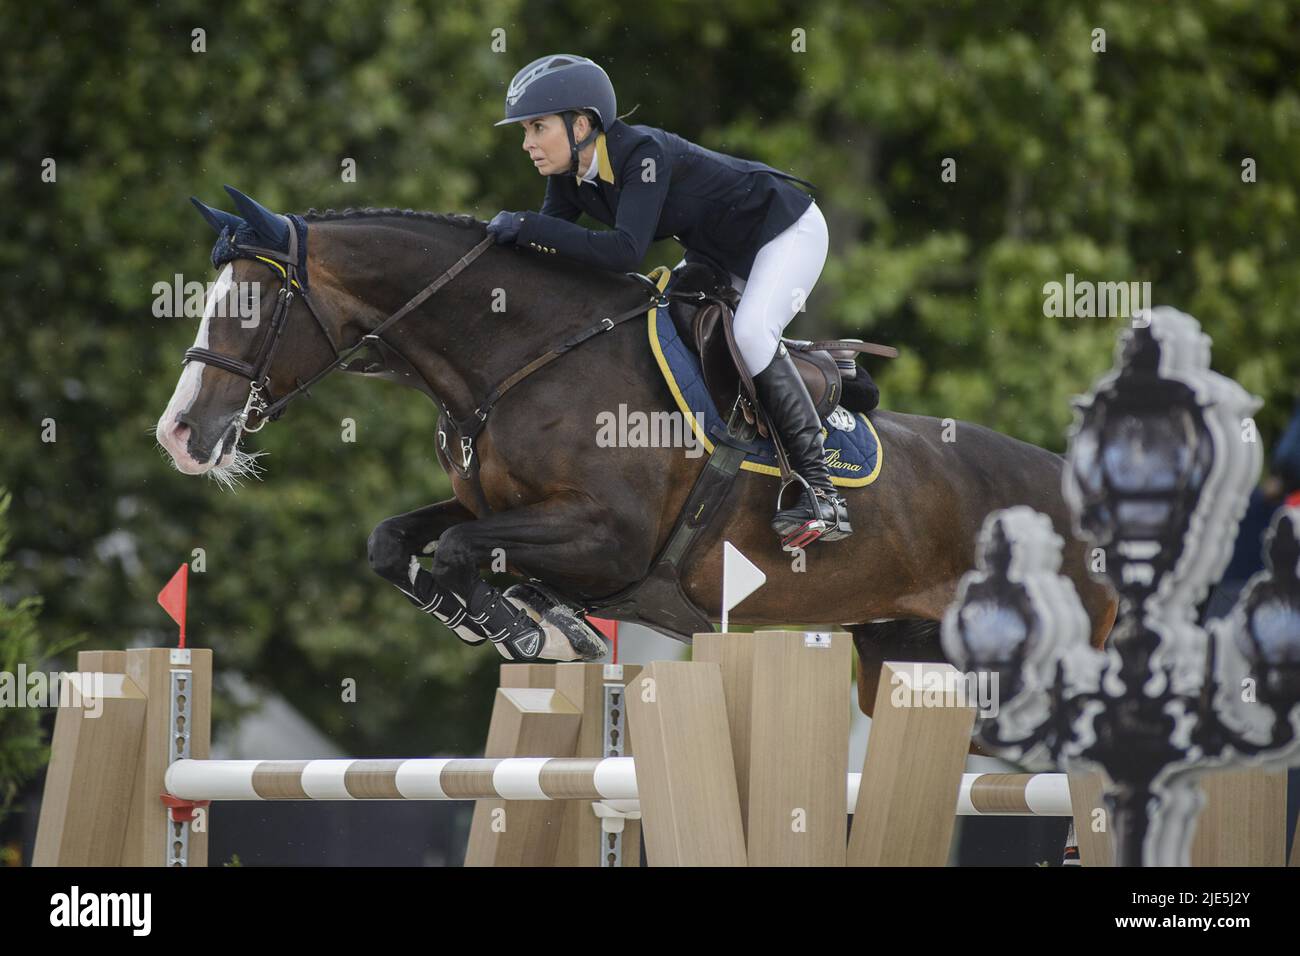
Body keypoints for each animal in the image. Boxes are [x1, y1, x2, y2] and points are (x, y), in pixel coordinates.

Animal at [154, 191, 1118, 717]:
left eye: (247, 305)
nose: (180, 435)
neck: (523, 354)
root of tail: (1074, 487)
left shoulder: (605, 537)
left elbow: (467, 550)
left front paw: (528, 624)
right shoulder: (496, 505)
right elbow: (396, 541)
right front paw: (519, 617)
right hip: (902, 657)